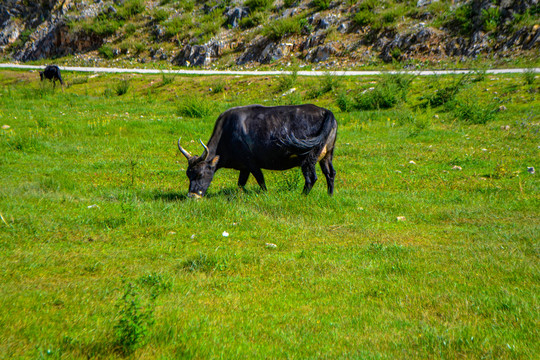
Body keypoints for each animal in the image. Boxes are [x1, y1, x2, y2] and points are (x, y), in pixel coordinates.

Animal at [177, 102, 338, 198]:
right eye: (188, 174)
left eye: (200, 173)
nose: (192, 196)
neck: (228, 130)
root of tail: (325, 111)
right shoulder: (244, 168)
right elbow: (240, 184)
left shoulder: (252, 163)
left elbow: (261, 181)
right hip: (327, 154)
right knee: (330, 173)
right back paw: (330, 195)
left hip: (308, 158)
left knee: (311, 178)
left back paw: (302, 196)